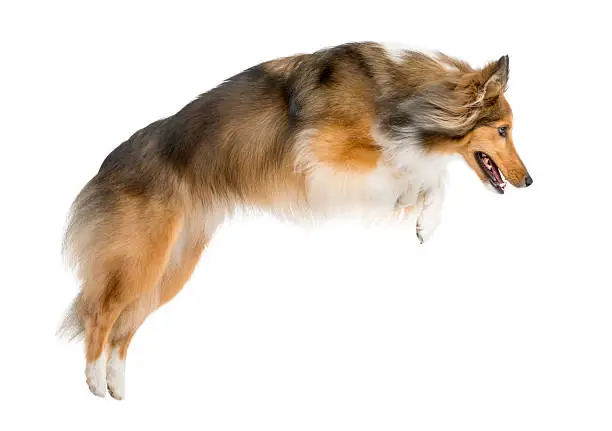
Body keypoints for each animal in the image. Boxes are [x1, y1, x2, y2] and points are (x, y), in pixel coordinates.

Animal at [61, 42, 532, 400]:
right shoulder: (327, 152)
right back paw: (94, 380)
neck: (405, 96)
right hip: (140, 259)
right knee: (100, 313)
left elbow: (423, 173)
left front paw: (422, 216)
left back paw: (116, 386)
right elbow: (416, 166)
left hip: (172, 266)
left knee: (123, 328)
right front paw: (418, 206)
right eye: (503, 130)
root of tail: (106, 166)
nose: (529, 181)